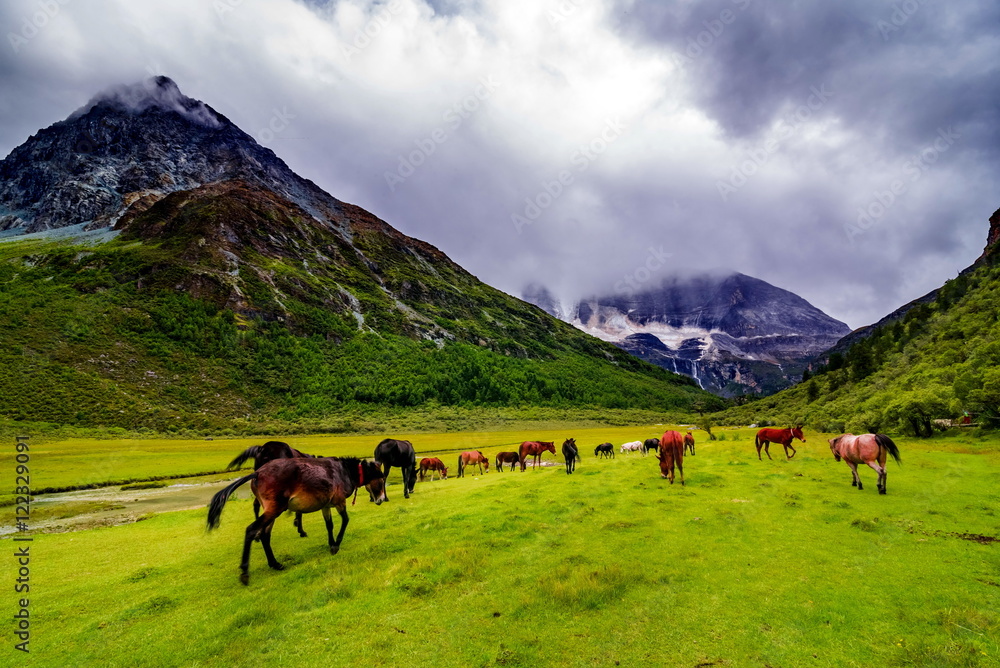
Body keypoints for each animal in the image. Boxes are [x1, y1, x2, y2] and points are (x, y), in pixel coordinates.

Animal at [208, 454, 386, 584]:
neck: (345, 471)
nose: (382, 499)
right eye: (382, 480)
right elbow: (345, 521)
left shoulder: (326, 505)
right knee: (252, 530)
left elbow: (329, 525)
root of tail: (258, 472)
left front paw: (331, 544)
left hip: (271, 510)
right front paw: (336, 545)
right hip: (274, 509)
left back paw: (275, 564)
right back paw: (245, 572)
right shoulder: (339, 502)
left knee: (265, 535)